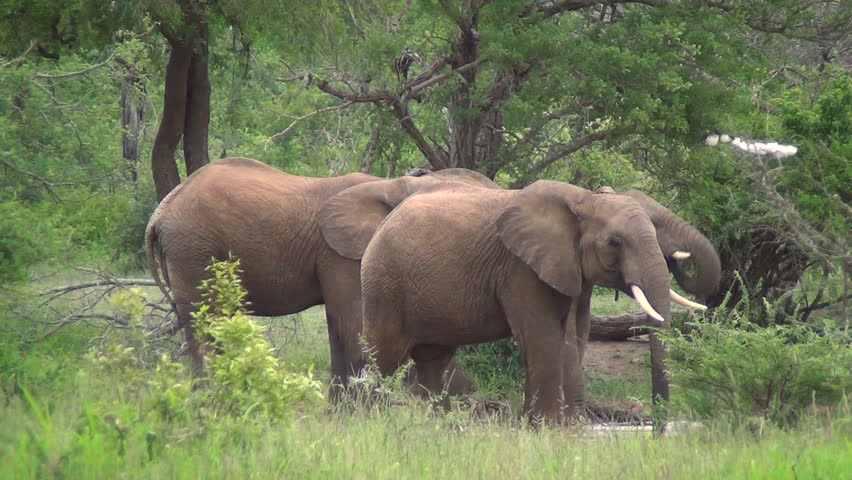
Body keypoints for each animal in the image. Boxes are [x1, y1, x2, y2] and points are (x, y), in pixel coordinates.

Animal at [145, 157, 499, 400]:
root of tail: (161, 212)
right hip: (193, 248)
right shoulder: (343, 255)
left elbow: (339, 328)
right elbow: (354, 324)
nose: (472, 392)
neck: (393, 183)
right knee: (204, 322)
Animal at [336, 180, 715, 424]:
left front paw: (562, 426)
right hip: (385, 281)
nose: (658, 431)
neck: (582, 200)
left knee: (433, 359)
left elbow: (575, 336)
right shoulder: (520, 269)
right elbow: (542, 336)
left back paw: (439, 425)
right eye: (614, 242)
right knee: (383, 355)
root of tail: (384, 224)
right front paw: (546, 427)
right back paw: (367, 421)